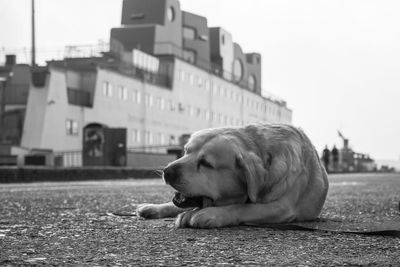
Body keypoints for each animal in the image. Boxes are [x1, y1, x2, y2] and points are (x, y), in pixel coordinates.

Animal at [137, 124, 328, 229]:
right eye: (186, 151)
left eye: (206, 163)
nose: (167, 172)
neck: (263, 151)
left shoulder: (282, 207)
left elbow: (243, 207)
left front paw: (209, 214)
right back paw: (153, 208)